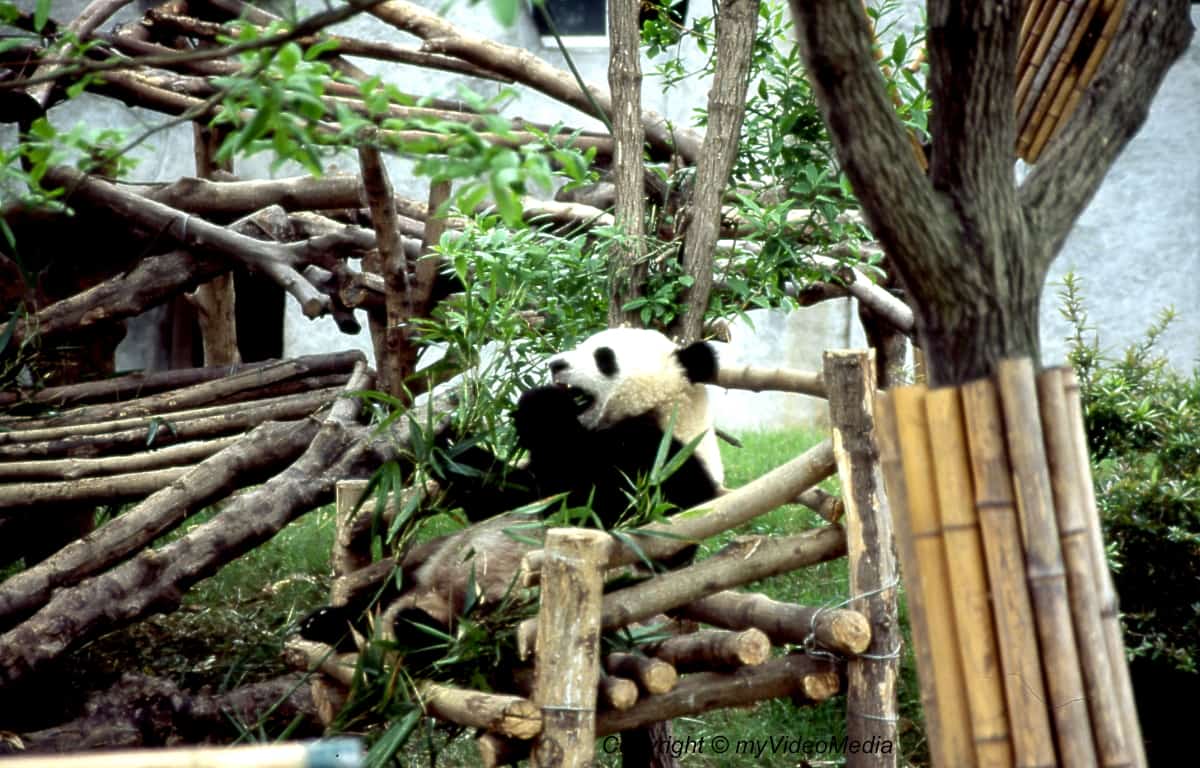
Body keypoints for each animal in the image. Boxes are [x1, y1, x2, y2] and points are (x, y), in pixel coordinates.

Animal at [300, 328, 724, 658]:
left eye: (604, 357)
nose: (556, 364)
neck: (662, 412)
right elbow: (509, 496)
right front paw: (451, 442)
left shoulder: (664, 468)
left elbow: (588, 505)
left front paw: (540, 403)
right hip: (419, 571)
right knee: (380, 594)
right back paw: (327, 622)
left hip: (505, 620)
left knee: (446, 636)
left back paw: (415, 629)